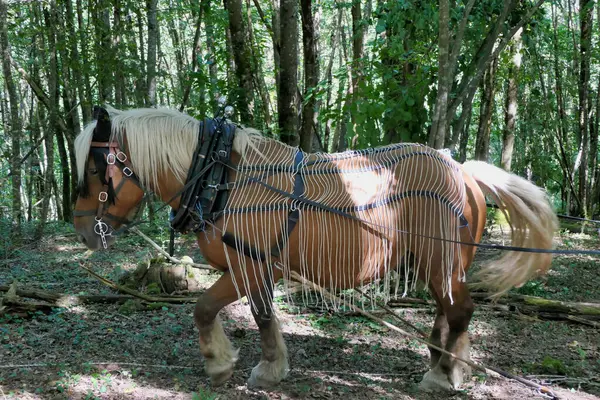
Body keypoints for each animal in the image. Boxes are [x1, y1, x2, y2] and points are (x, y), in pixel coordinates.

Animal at [74, 105, 556, 390]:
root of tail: (463, 170)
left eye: (96, 170)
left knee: (458, 312)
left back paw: (443, 375)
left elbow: (204, 308)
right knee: (446, 311)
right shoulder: (257, 269)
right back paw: (442, 363)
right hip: (436, 264)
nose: (82, 229)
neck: (220, 177)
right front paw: (271, 368)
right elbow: (263, 316)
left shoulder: (245, 267)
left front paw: (219, 363)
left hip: (442, 261)